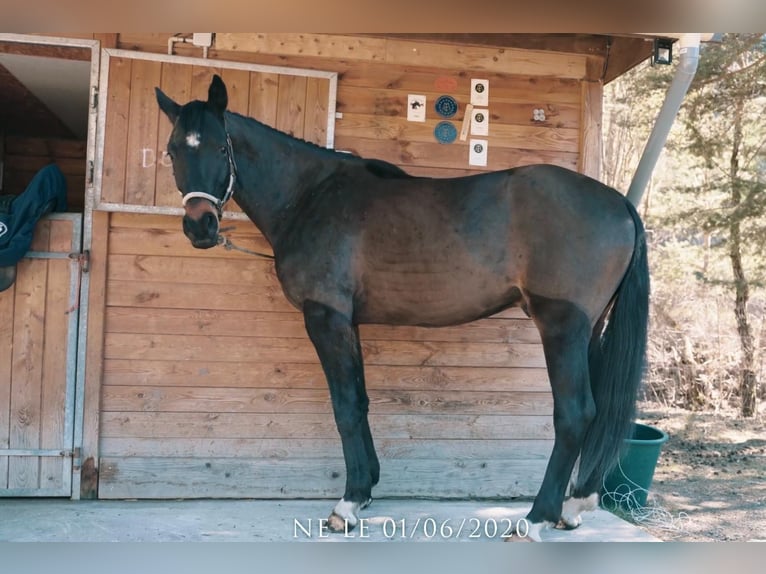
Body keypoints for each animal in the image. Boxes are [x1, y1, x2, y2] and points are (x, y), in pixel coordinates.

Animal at [156, 74, 648, 544]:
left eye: (221, 147)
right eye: (173, 150)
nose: (200, 227)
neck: (311, 196)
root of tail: (617, 201)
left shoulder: (325, 317)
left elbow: (345, 405)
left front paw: (348, 505)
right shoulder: (347, 323)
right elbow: (360, 400)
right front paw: (367, 489)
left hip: (562, 326)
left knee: (575, 413)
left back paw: (535, 519)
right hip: (588, 330)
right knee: (596, 411)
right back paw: (574, 507)